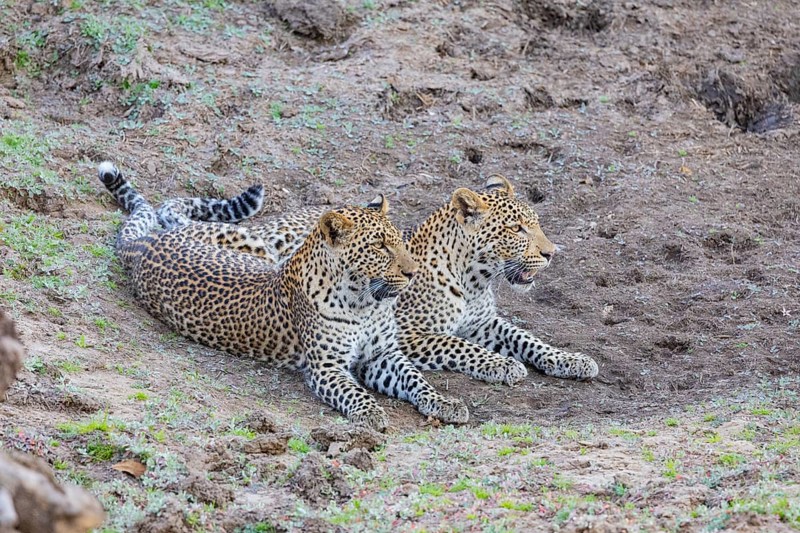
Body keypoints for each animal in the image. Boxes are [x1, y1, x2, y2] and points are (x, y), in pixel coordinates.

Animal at [97, 162, 469, 430]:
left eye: (399, 241)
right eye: (379, 247)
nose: (412, 272)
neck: (365, 302)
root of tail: (147, 243)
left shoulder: (383, 355)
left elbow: (416, 379)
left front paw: (446, 403)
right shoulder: (327, 367)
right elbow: (354, 392)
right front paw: (370, 413)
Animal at [156, 175, 599, 385]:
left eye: (536, 224)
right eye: (517, 229)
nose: (551, 252)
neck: (475, 278)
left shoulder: (484, 322)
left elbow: (528, 339)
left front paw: (571, 360)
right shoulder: (411, 334)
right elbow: (459, 346)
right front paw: (502, 365)